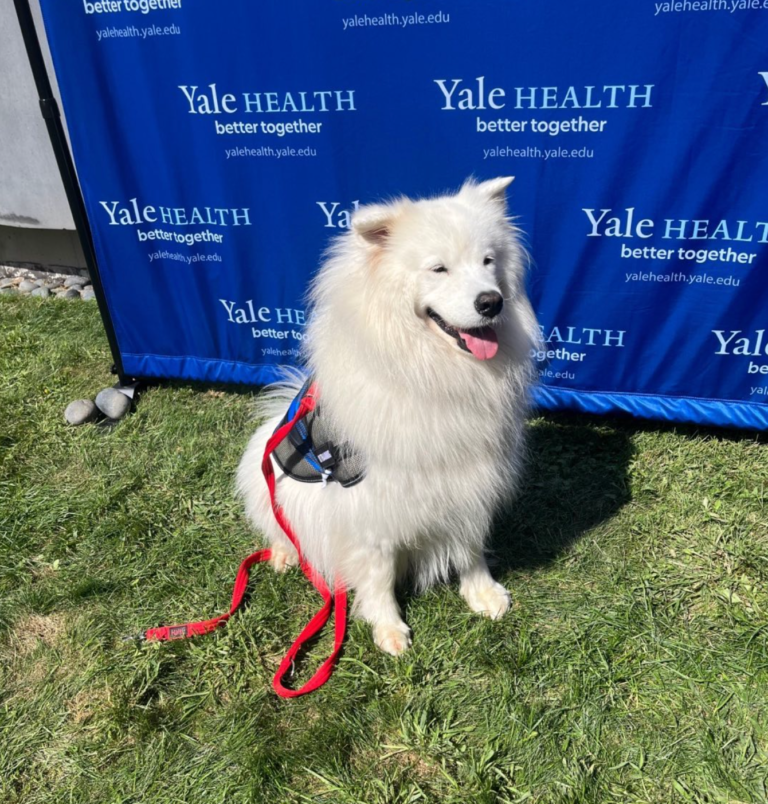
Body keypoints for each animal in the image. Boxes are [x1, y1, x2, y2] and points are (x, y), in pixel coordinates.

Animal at [237, 176, 536, 652]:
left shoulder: (473, 477)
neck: (435, 376)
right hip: (264, 474)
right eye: (438, 269)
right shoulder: (373, 503)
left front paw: (482, 592)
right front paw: (388, 628)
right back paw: (284, 554)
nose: (491, 302)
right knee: (280, 527)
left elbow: (471, 545)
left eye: (488, 261)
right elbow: (377, 572)